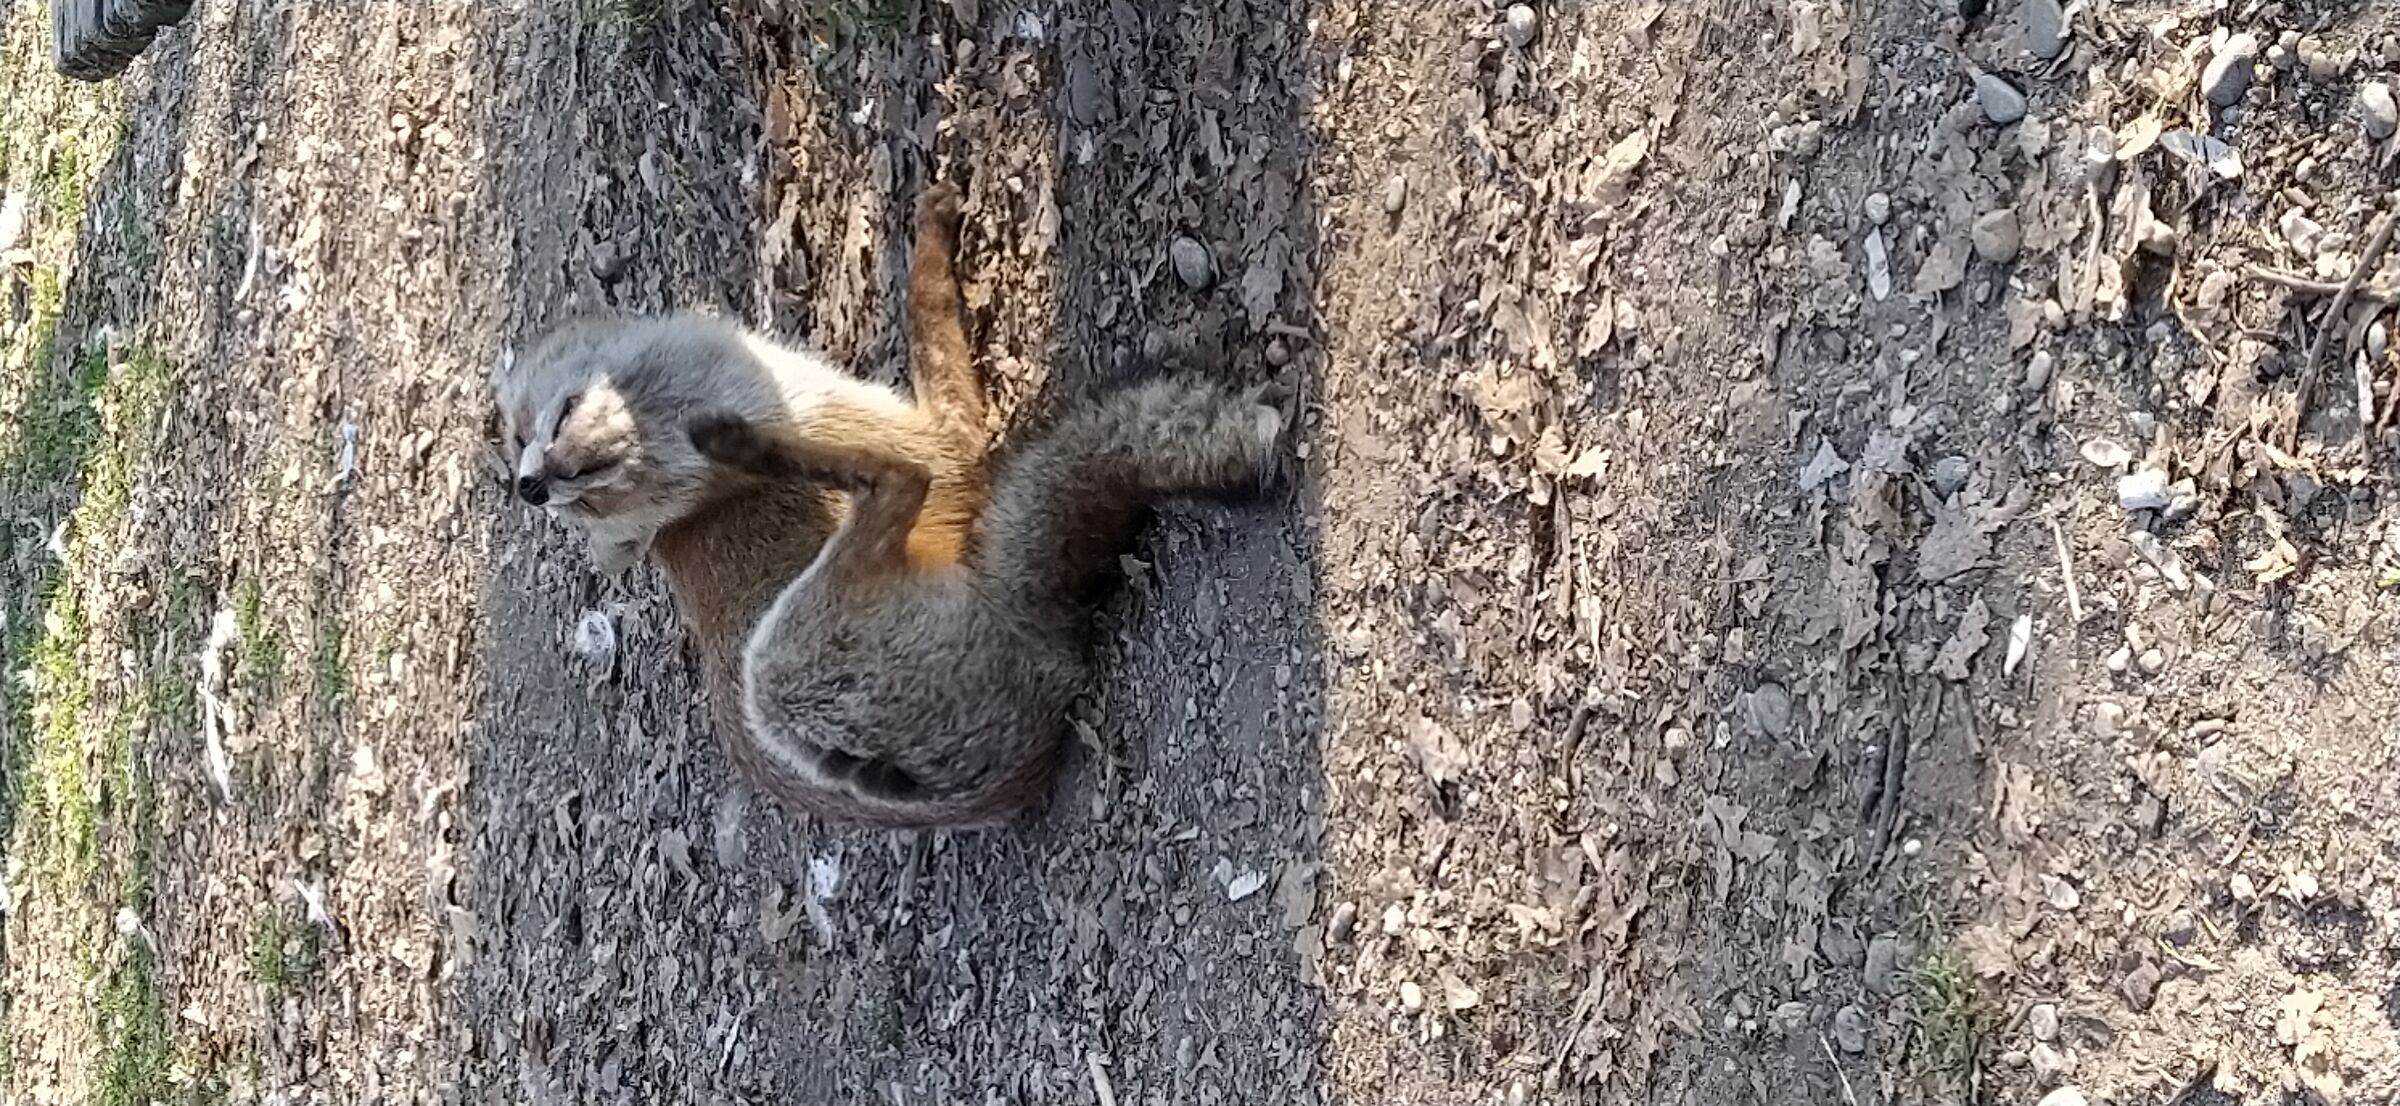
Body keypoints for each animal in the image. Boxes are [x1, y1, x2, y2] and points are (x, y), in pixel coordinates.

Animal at [492, 183, 1285, 828]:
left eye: (540, 434)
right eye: (580, 495)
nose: (532, 485)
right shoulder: (944, 441)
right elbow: (923, 327)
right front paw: (932, 237)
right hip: (778, 663)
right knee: (900, 482)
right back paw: (749, 444)